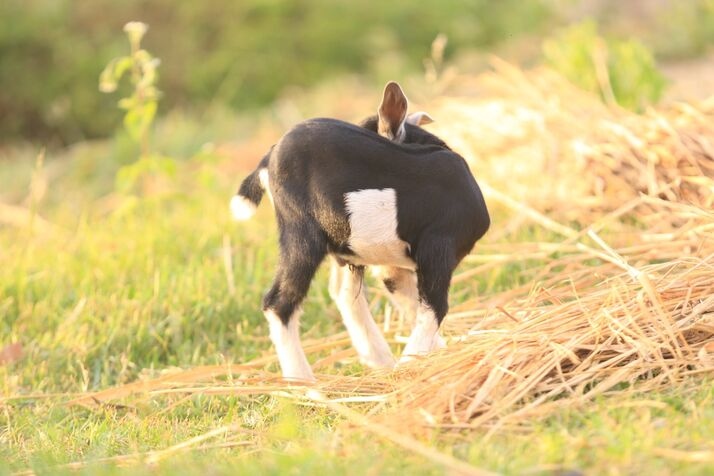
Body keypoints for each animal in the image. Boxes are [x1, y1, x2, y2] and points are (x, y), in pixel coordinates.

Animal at [231, 83, 490, 381]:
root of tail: (268, 159)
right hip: (301, 231)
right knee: (279, 301)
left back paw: (378, 359)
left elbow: (411, 304)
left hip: (345, 245)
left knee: (344, 294)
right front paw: (409, 366)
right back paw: (304, 381)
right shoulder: (438, 246)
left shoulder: (392, 266)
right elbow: (433, 308)